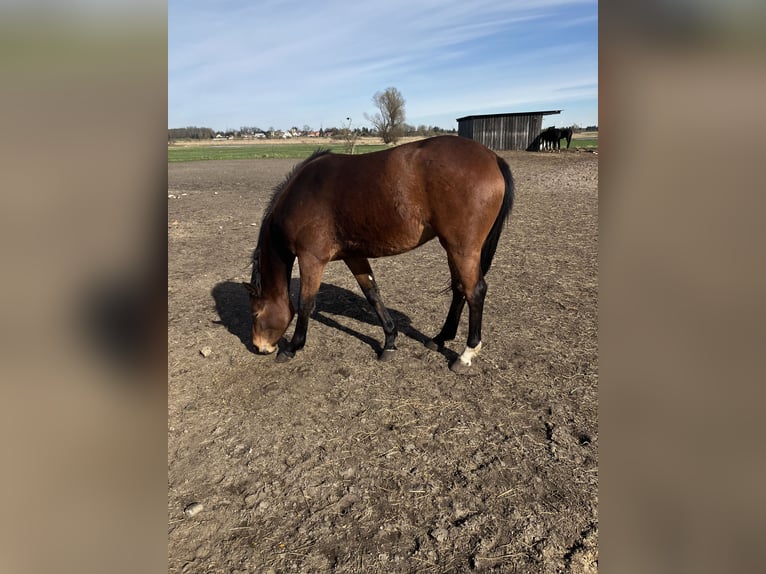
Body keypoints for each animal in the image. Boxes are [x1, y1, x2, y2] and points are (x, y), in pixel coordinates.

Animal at [240, 137, 516, 376]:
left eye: (254, 314)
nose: (259, 347)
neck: (300, 196)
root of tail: (492, 157)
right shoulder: (354, 255)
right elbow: (372, 294)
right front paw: (390, 341)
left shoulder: (311, 259)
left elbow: (306, 303)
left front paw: (292, 347)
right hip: (453, 248)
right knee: (459, 289)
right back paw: (439, 339)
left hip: (462, 249)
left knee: (475, 291)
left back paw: (466, 354)